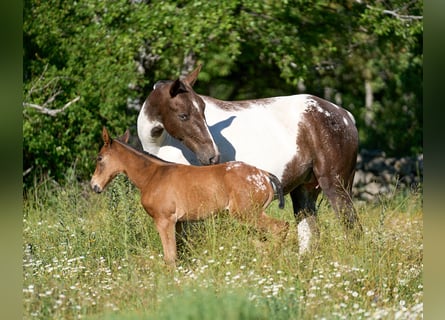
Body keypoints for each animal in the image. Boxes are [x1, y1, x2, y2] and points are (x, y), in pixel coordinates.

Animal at [92, 127, 290, 264]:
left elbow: (170, 257)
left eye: (99, 158)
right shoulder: (179, 223)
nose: (94, 186)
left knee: (280, 228)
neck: (153, 176)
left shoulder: (164, 220)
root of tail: (264, 175)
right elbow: (178, 253)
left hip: (248, 214)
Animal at [136, 66, 360, 254]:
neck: (163, 144)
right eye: (183, 115)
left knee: (352, 227)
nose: (211, 155)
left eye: (203, 110)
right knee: (309, 233)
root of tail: (345, 115)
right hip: (304, 191)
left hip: (336, 186)